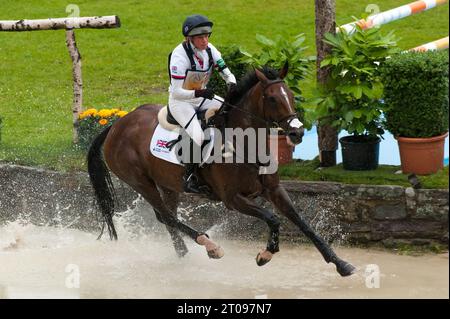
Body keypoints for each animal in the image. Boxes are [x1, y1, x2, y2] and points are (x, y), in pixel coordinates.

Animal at [87, 64, 356, 278]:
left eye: (290, 94)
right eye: (271, 98)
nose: (297, 132)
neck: (246, 143)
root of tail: (116, 125)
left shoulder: (274, 189)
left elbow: (302, 222)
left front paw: (340, 264)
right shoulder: (233, 199)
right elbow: (272, 218)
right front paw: (266, 254)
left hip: (168, 184)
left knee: (166, 217)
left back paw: (185, 256)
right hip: (141, 183)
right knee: (168, 217)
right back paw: (209, 246)